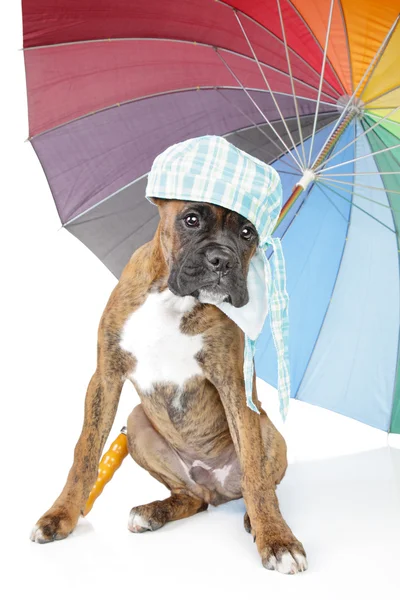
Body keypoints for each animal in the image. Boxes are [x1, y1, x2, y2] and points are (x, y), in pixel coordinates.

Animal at [31, 199, 308, 576]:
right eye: (191, 219)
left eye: (247, 231)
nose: (222, 260)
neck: (173, 301)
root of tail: (215, 489)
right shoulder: (105, 377)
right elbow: (84, 454)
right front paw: (61, 515)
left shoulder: (234, 387)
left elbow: (255, 472)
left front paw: (278, 540)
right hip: (136, 423)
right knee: (192, 498)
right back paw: (153, 513)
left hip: (269, 431)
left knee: (259, 485)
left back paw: (255, 518)